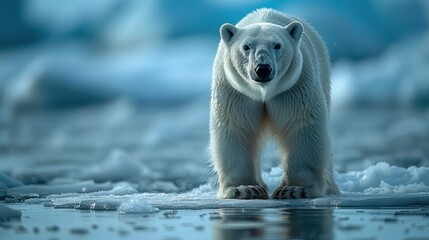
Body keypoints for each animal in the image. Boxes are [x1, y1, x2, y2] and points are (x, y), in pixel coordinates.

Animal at [209, 8, 340, 199]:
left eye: (277, 45)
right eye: (246, 46)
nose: (262, 69)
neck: (264, 91)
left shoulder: (294, 87)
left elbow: (303, 125)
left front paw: (295, 189)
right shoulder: (235, 90)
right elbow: (236, 127)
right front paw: (244, 188)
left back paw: (330, 188)